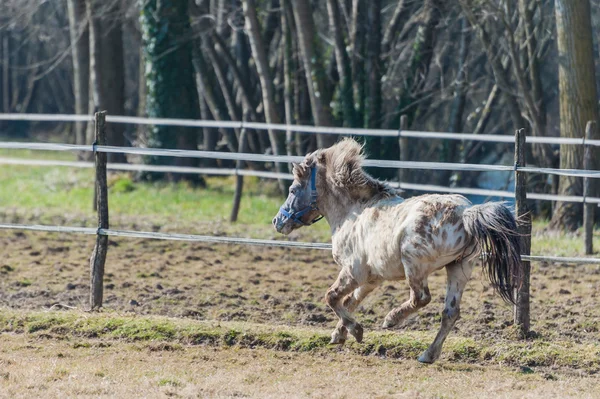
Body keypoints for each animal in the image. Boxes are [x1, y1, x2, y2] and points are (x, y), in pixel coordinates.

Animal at [272, 138, 520, 366]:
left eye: (293, 189)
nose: (278, 221)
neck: (353, 212)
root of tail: (465, 212)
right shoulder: (372, 279)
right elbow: (350, 301)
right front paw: (339, 335)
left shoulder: (353, 272)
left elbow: (332, 297)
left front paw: (356, 330)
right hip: (459, 267)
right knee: (450, 313)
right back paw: (427, 355)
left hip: (414, 264)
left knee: (421, 298)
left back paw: (391, 319)